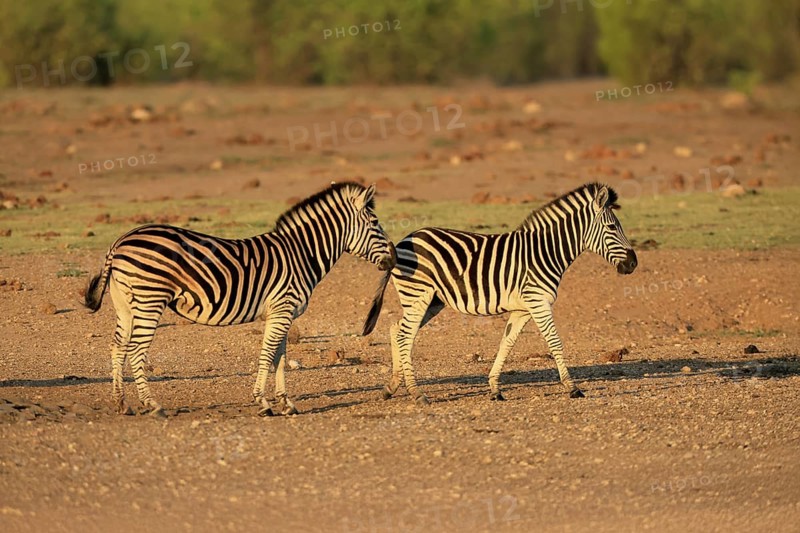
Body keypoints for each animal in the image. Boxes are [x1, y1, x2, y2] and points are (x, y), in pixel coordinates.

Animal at [83, 182, 396, 417]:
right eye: (375, 223)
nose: (393, 258)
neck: (301, 253)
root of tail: (120, 241)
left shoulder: (282, 313)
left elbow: (280, 358)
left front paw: (286, 403)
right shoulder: (282, 309)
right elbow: (268, 354)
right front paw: (263, 402)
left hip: (125, 304)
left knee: (117, 347)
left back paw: (122, 403)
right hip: (150, 300)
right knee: (136, 350)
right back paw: (153, 405)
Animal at [361, 183, 637, 405]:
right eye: (612, 227)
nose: (633, 264)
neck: (547, 251)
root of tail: (403, 241)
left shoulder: (522, 309)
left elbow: (507, 343)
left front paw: (495, 388)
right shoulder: (538, 301)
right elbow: (555, 342)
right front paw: (573, 387)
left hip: (431, 301)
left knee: (397, 330)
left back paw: (392, 386)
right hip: (419, 295)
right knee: (405, 335)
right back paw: (416, 392)